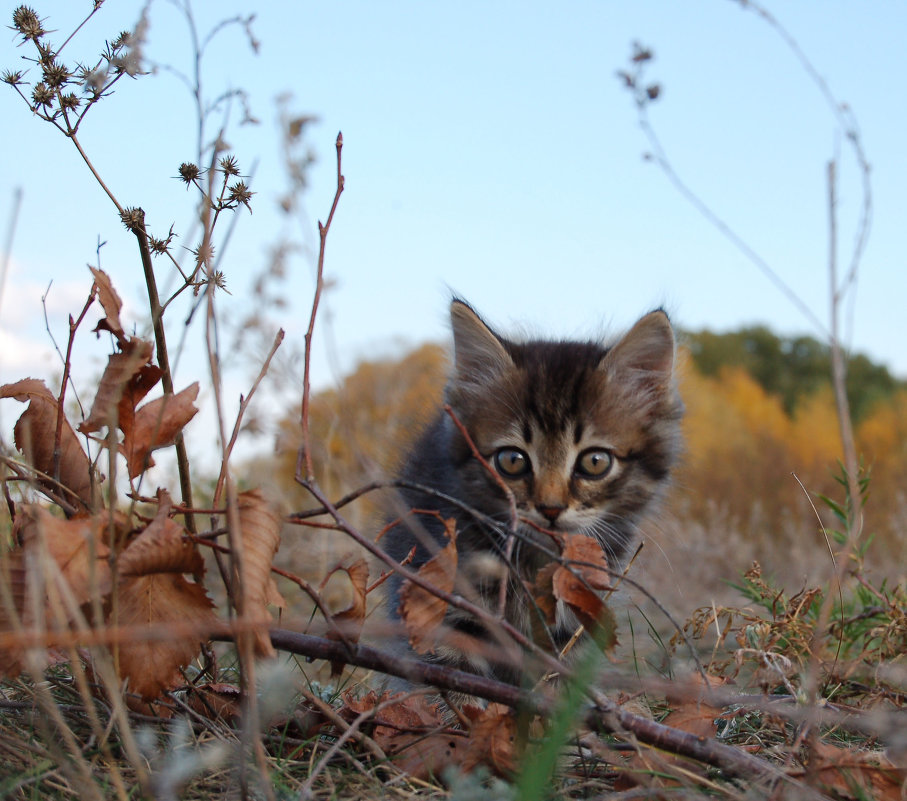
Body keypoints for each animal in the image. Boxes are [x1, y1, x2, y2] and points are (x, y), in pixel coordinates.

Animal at [384, 296, 680, 684]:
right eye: (512, 461)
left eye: (595, 462)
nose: (550, 508)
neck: (535, 561)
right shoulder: (449, 601)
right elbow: (459, 686)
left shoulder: (572, 620)